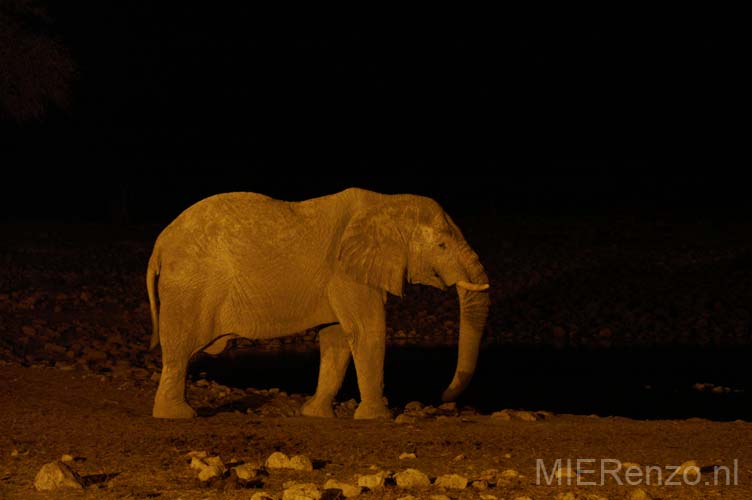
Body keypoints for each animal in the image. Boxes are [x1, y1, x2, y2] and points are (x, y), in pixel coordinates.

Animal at [147, 188, 490, 418]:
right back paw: (177, 415)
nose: (443, 396)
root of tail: (159, 245)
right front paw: (377, 418)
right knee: (180, 348)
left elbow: (336, 339)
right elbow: (368, 332)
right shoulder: (345, 273)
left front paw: (315, 414)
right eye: (442, 246)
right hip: (190, 286)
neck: (386, 202)